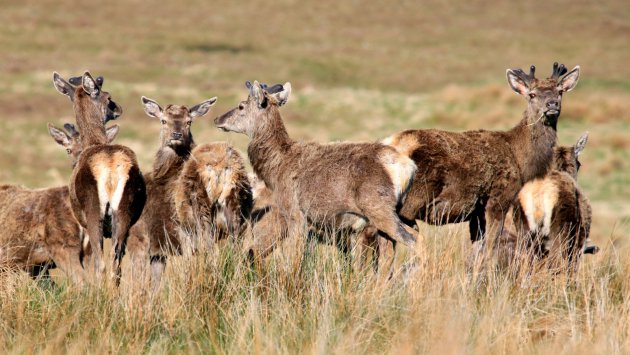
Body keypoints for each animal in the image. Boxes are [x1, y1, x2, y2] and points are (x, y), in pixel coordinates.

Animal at [53, 71, 147, 286]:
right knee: (115, 265)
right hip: (123, 213)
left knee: (101, 265)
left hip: (93, 212)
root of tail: (111, 170)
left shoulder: (84, 222)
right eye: (109, 97)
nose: (118, 108)